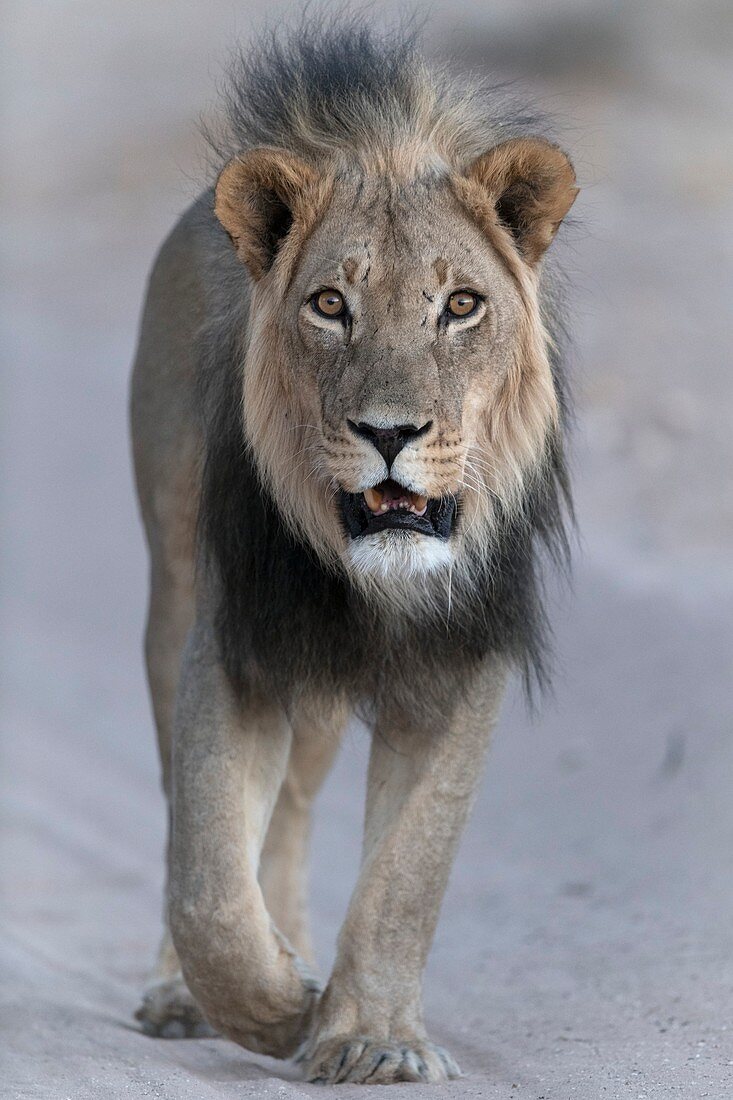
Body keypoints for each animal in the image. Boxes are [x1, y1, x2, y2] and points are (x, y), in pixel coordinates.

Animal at [129, 21, 576, 1086]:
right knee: (198, 812)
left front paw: (370, 1036)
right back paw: (197, 988)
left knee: (292, 810)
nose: (388, 432)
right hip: (173, 596)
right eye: (331, 305)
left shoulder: (462, 658)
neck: (382, 592)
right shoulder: (238, 642)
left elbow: (409, 873)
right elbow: (206, 877)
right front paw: (278, 1005)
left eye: (460, 306)